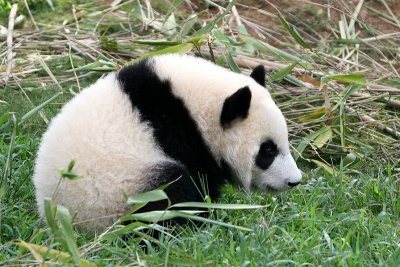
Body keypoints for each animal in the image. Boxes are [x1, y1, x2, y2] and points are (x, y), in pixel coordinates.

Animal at [32, 54, 302, 230]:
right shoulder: (180, 136)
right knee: (167, 196)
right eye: (268, 150)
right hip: (116, 192)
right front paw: (207, 212)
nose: (294, 181)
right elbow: (196, 181)